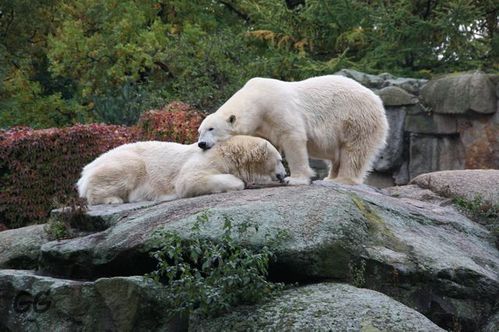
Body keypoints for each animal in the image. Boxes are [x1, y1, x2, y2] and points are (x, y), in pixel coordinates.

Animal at [76, 136, 288, 205]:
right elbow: (189, 180)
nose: (284, 174)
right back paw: (112, 199)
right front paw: (239, 182)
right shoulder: (206, 159)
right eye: (279, 160)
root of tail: (85, 170)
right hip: (122, 162)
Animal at [198, 74, 390, 187]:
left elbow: (293, 138)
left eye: (211, 128)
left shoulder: (278, 108)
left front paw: (294, 179)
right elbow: (266, 146)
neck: (258, 99)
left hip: (356, 119)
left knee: (354, 150)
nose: (201, 144)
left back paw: (343, 179)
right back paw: (330, 177)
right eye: (199, 131)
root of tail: (377, 100)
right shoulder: (262, 125)